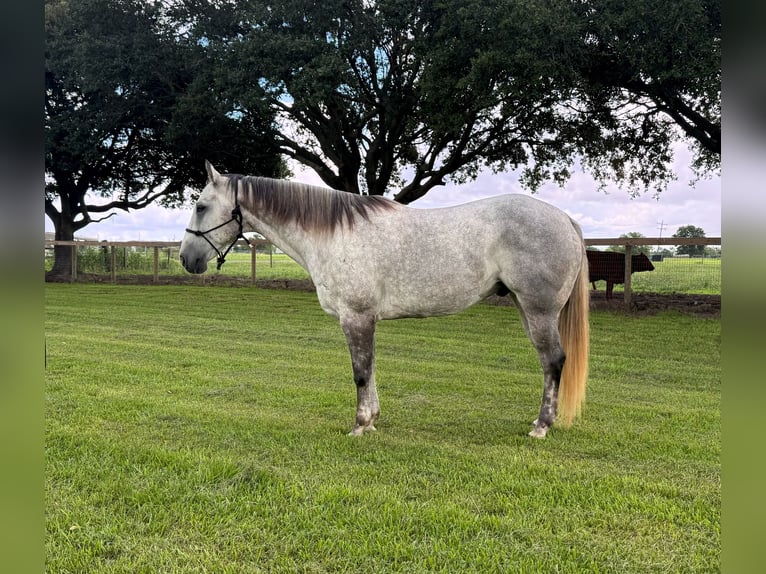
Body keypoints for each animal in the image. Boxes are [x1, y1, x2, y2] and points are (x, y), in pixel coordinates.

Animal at [180, 161, 590, 439]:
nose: (187, 259)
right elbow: (372, 368)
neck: (334, 234)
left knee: (554, 361)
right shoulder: (366, 320)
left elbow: (360, 372)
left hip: (539, 311)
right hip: (525, 307)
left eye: (201, 206)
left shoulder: (355, 316)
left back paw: (541, 427)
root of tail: (565, 219)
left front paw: (360, 426)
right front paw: (373, 421)